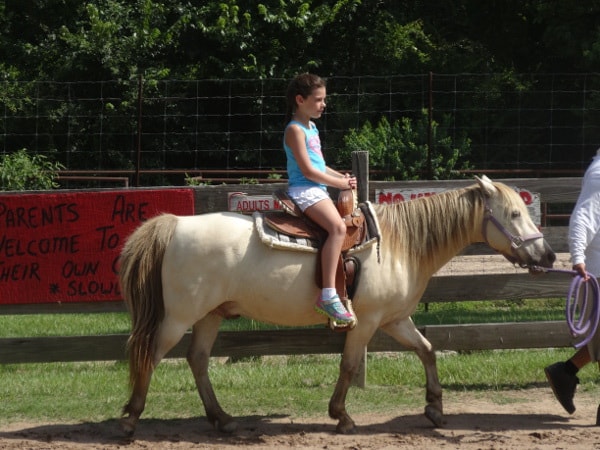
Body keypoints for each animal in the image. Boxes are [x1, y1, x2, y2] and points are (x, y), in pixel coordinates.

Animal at [119, 177, 556, 436]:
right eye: (513, 213)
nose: (548, 255)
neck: (398, 244)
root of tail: (176, 224)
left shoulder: (396, 319)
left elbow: (427, 350)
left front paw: (434, 408)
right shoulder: (366, 321)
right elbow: (348, 364)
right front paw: (341, 416)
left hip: (211, 315)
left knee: (197, 359)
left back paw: (222, 418)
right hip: (178, 317)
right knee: (151, 355)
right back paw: (132, 417)